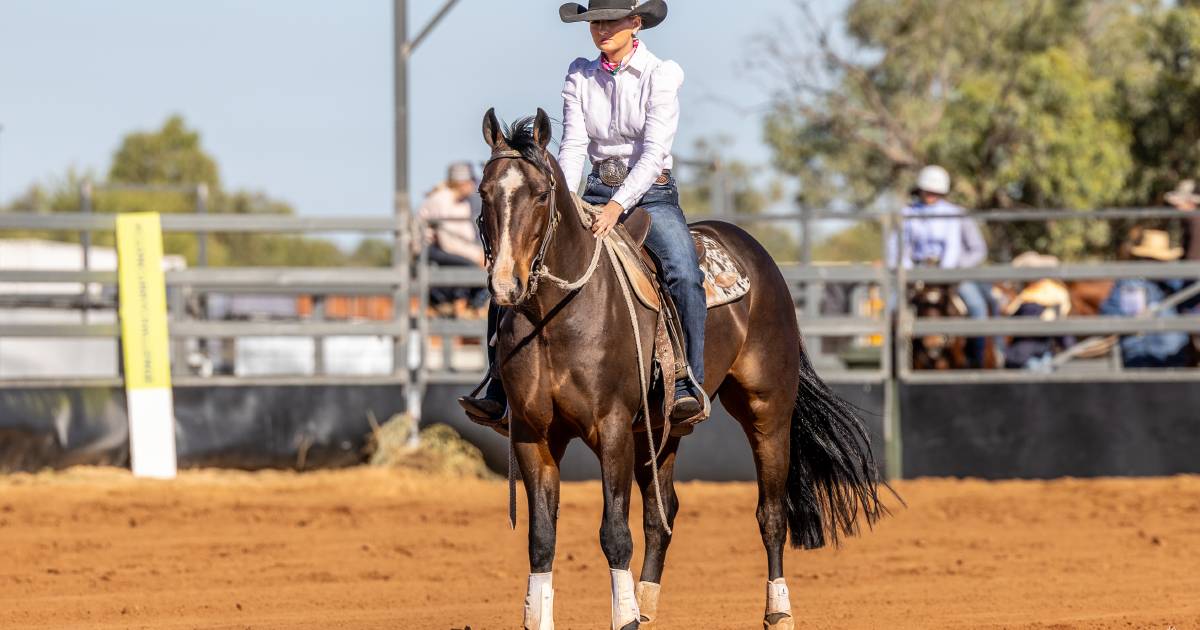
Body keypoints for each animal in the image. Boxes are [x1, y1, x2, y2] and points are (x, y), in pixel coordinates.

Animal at [480, 109, 892, 628]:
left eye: (539, 194)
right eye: (484, 192)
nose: (505, 285)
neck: (556, 318)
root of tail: (758, 255)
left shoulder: (611, 429)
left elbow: (614, 532)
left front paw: (624, 616)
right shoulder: (534, 434)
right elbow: (541, 538)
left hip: (767, 410)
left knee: (771, 513)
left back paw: (778, 609)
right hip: (659, 429)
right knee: (663, 513)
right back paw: (649, 603)